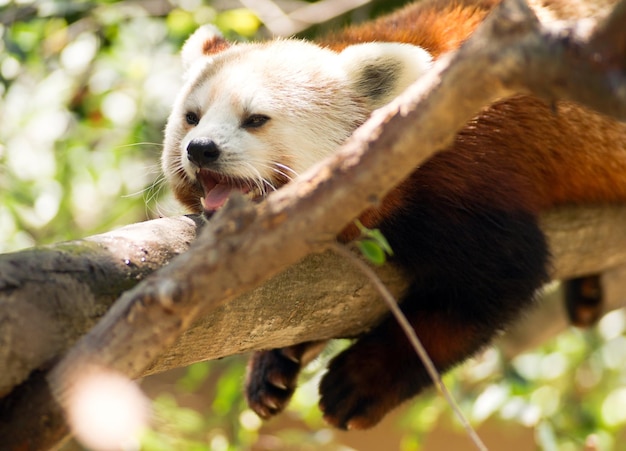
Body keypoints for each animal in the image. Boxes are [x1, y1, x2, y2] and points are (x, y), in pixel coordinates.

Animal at [161, 0, 624, 430]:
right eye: (192, 118)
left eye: (256, 120)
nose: (200, 148)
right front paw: (274, 364)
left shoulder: (467, 176)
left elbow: (488, 288)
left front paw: (362, 380)